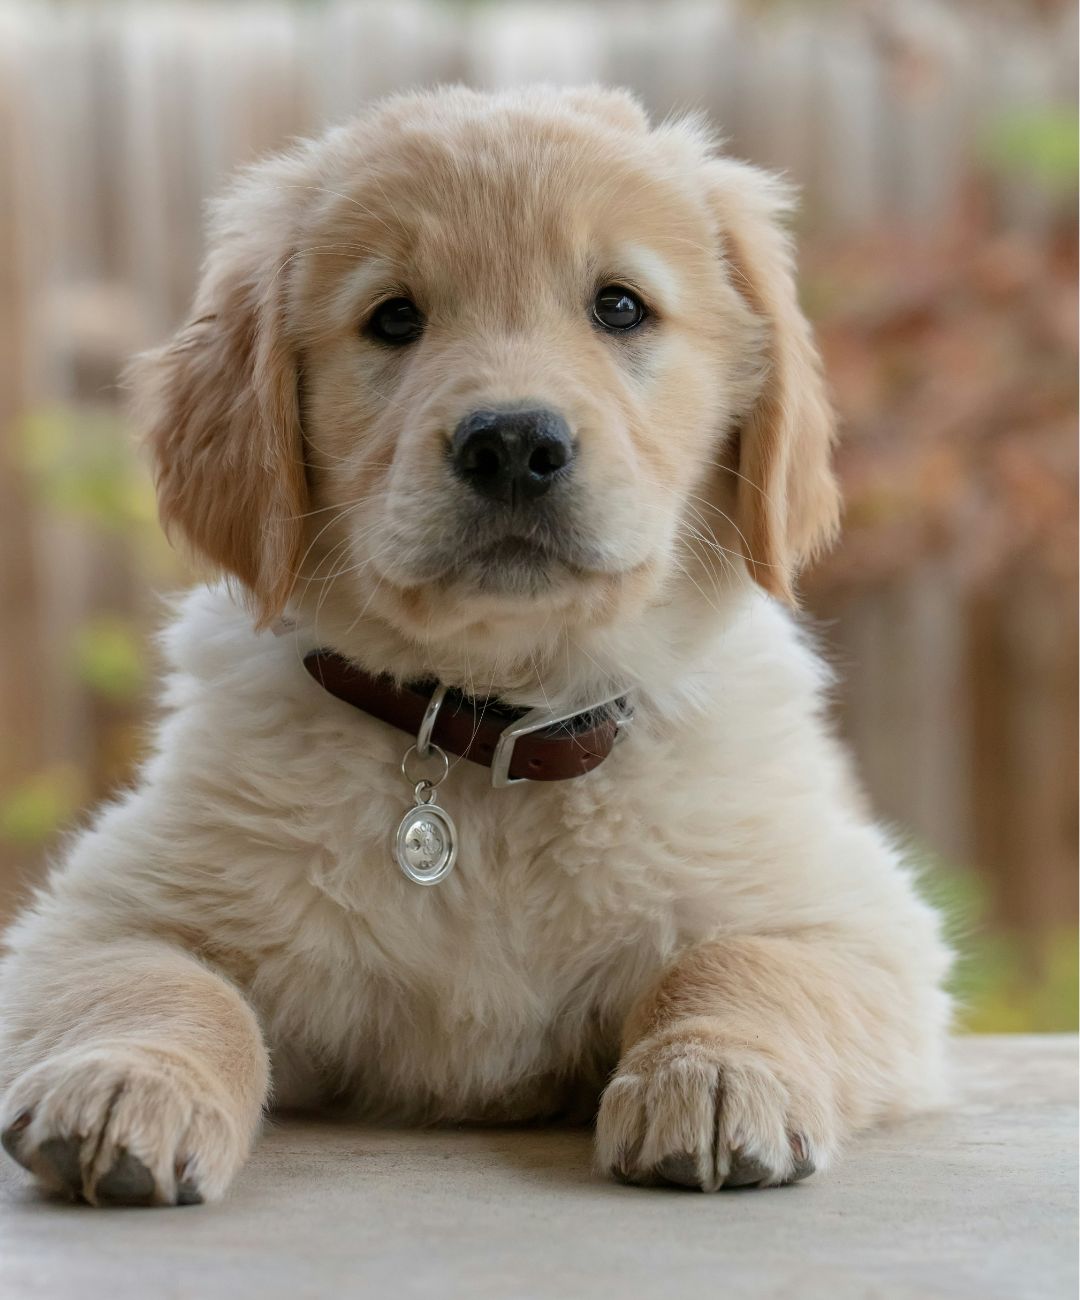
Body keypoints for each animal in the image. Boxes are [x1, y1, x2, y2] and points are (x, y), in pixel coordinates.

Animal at [0, 89, 946, 1206]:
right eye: (394, 318)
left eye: (619, 307)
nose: (513, 444)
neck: (491, 732)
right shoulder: (97, 913)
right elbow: (162, 984)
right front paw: (127, 1081)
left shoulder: (855, 917)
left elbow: (740, 964)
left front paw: (713, 1074)